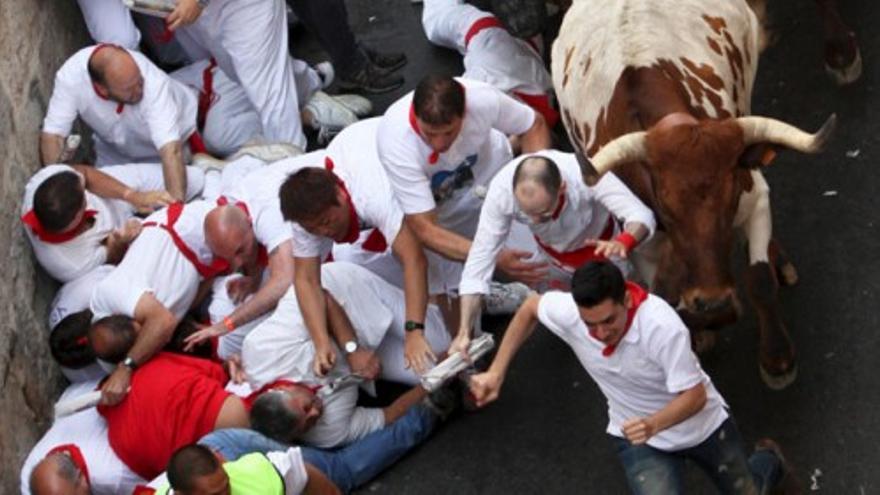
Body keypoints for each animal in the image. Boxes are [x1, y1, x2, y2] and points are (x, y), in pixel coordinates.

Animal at [552, 0, 836, 388]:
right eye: (664, 207)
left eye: (731, 196)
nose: (714, 301)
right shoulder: (643, 241)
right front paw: (700, 327)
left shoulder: (754, 195)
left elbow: (759, 280)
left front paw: (777, 358)